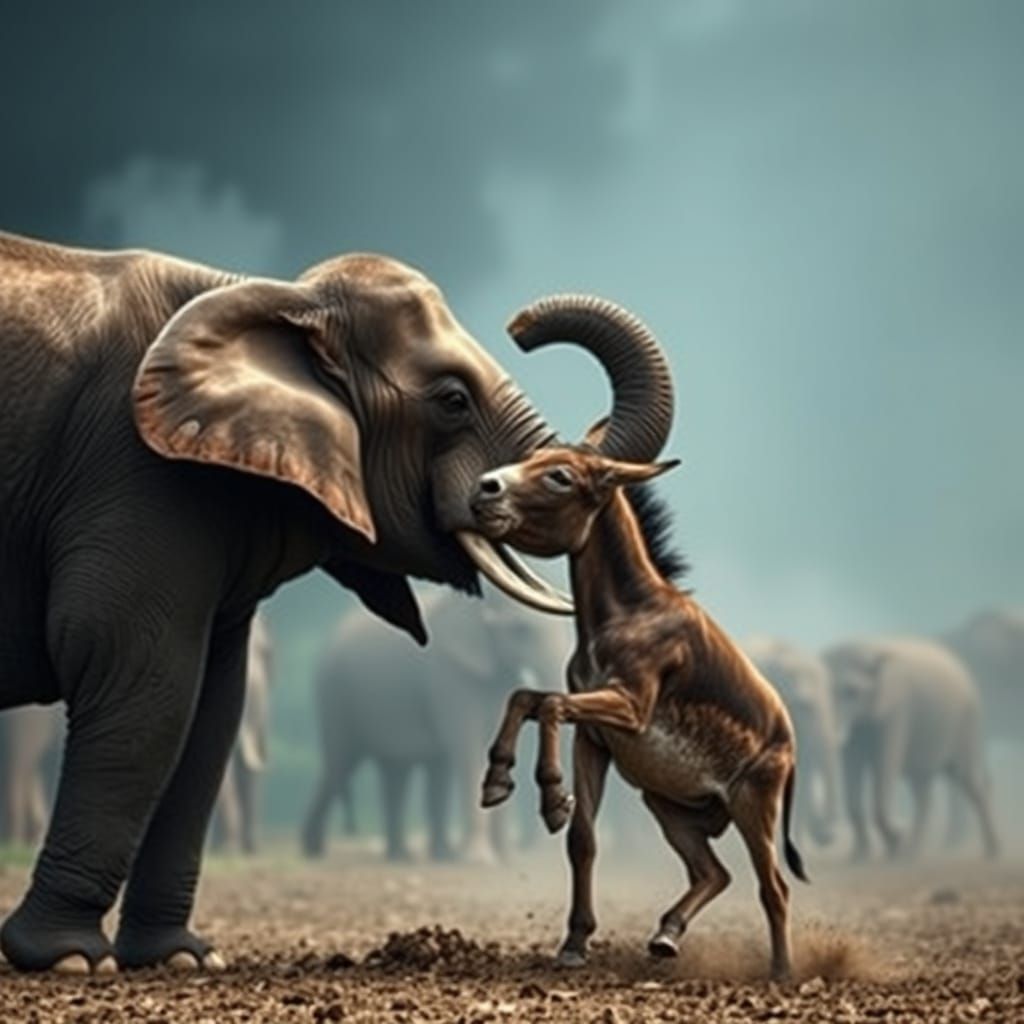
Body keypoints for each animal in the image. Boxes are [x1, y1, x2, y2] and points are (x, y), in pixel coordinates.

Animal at [302, 586, 571, 863]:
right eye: (521, 630)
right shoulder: (447, 671)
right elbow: (467, 747)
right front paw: (479, 861)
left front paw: (505, 860)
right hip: (334, 693)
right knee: (341, 764)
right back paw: (315, 851)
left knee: (397, 772)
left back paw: (408, 856)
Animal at [823, 637, 999, 861]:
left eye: (852, 692)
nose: (830, 837)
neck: (869, 651)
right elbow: (852, 770)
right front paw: (859, 858)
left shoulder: (898, 711)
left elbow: (885, 765)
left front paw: (895, 843)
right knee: (923, 791)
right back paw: (911, 853)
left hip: (967, 721)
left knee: (969, 781)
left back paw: (992, 853)